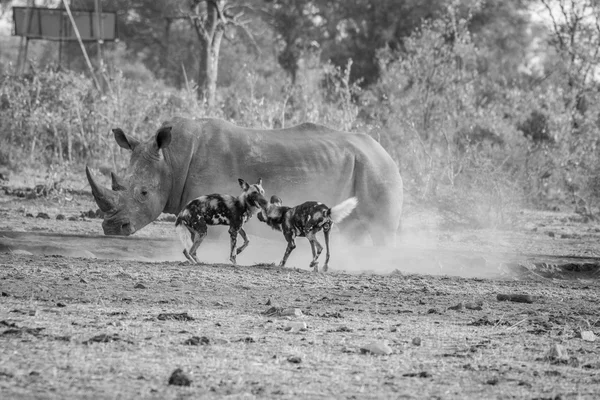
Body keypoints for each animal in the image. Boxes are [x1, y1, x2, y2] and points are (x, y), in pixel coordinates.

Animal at [84, 117, 404, 245]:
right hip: (366, 165)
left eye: (144, 193)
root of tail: (386, 151)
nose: (111, 228)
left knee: (381, 227)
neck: (171, 161)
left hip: (378, 170)